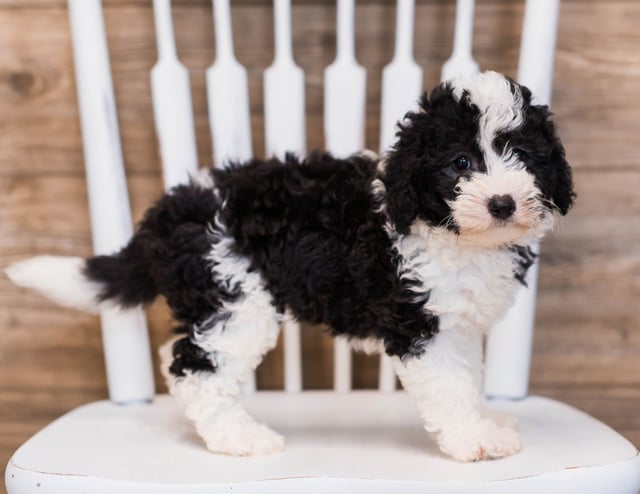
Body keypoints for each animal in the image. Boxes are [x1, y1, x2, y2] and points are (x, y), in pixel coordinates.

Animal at [5, 70, 576, 464]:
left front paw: (486, 423)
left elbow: (468, 379)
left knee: (178, 353)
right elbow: (449, 387)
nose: (502, 203)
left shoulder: (458, 324)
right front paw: (472, 439)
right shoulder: (421, 324)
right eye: (460, 163)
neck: (450, 231)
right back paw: (240, 438)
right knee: (194, 366)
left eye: (524, 157)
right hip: (236, 301)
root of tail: (171, 212)